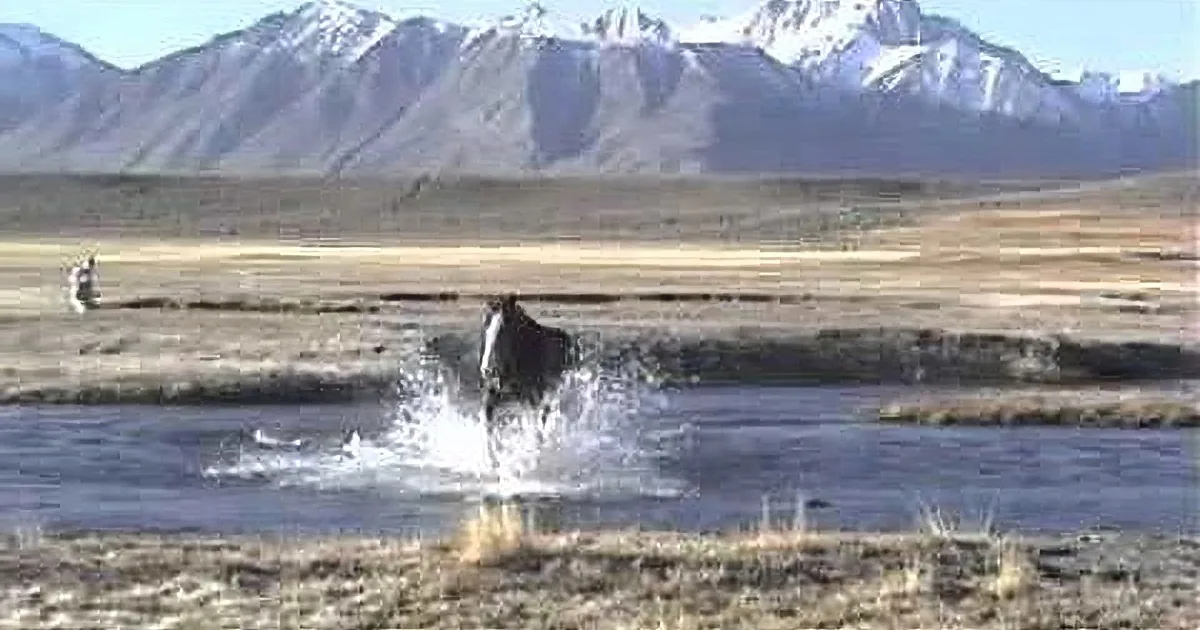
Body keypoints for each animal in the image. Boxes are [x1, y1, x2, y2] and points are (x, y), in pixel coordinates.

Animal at [478, 294, 579, 468]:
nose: (488, 370)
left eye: (503, 330)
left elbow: (534, 427)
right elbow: (487, 423)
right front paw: (493, 460)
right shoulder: (492, 393)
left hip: (551, 391)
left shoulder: (531, 395)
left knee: (544, 417)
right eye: (486, 327)